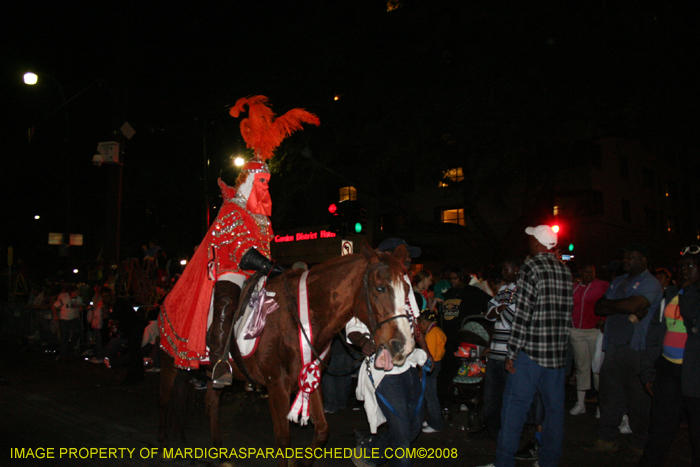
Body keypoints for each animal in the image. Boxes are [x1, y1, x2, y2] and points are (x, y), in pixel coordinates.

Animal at [159, 243, 416, 466]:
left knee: (211, 404)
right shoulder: (277, 386)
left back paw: (219, 452)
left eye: (406, 289)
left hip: (215, 374)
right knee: (166, 398)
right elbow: (283, 440)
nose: (403, 344)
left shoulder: (310, 378)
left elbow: (322, 431)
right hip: (170, 361)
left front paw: (302, 462)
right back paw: (165, 444)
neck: (299, 318)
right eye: (380, 288)